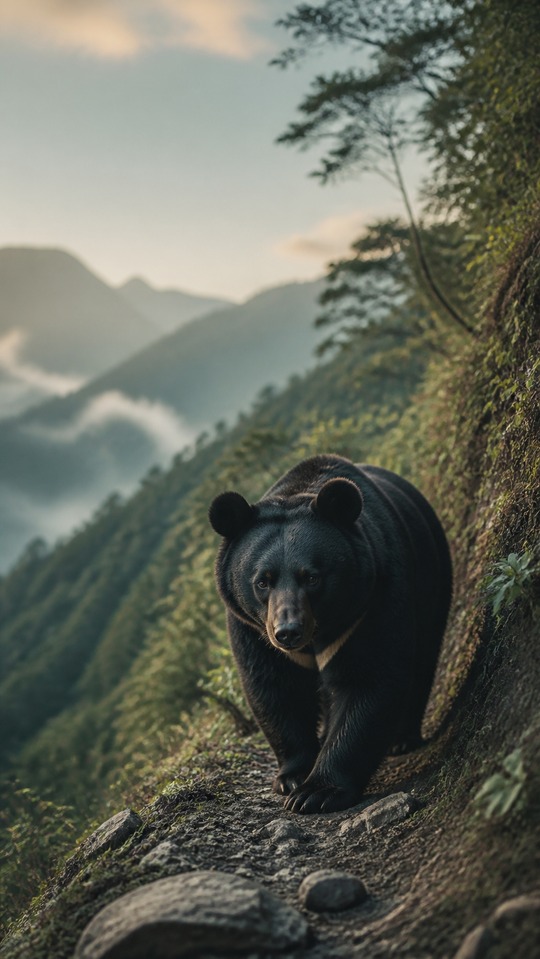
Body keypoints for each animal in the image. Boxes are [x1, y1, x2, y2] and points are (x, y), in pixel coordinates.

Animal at [209, 454, 452, 814]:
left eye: (311, 577)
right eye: (262, 581)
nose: (288, 632)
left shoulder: (370, 601)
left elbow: (367, 679)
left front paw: (317, 792)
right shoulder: (251, 629)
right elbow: (275, 688)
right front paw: (293, 776)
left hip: (431, 578)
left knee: (423, 658)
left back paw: (403, 739)